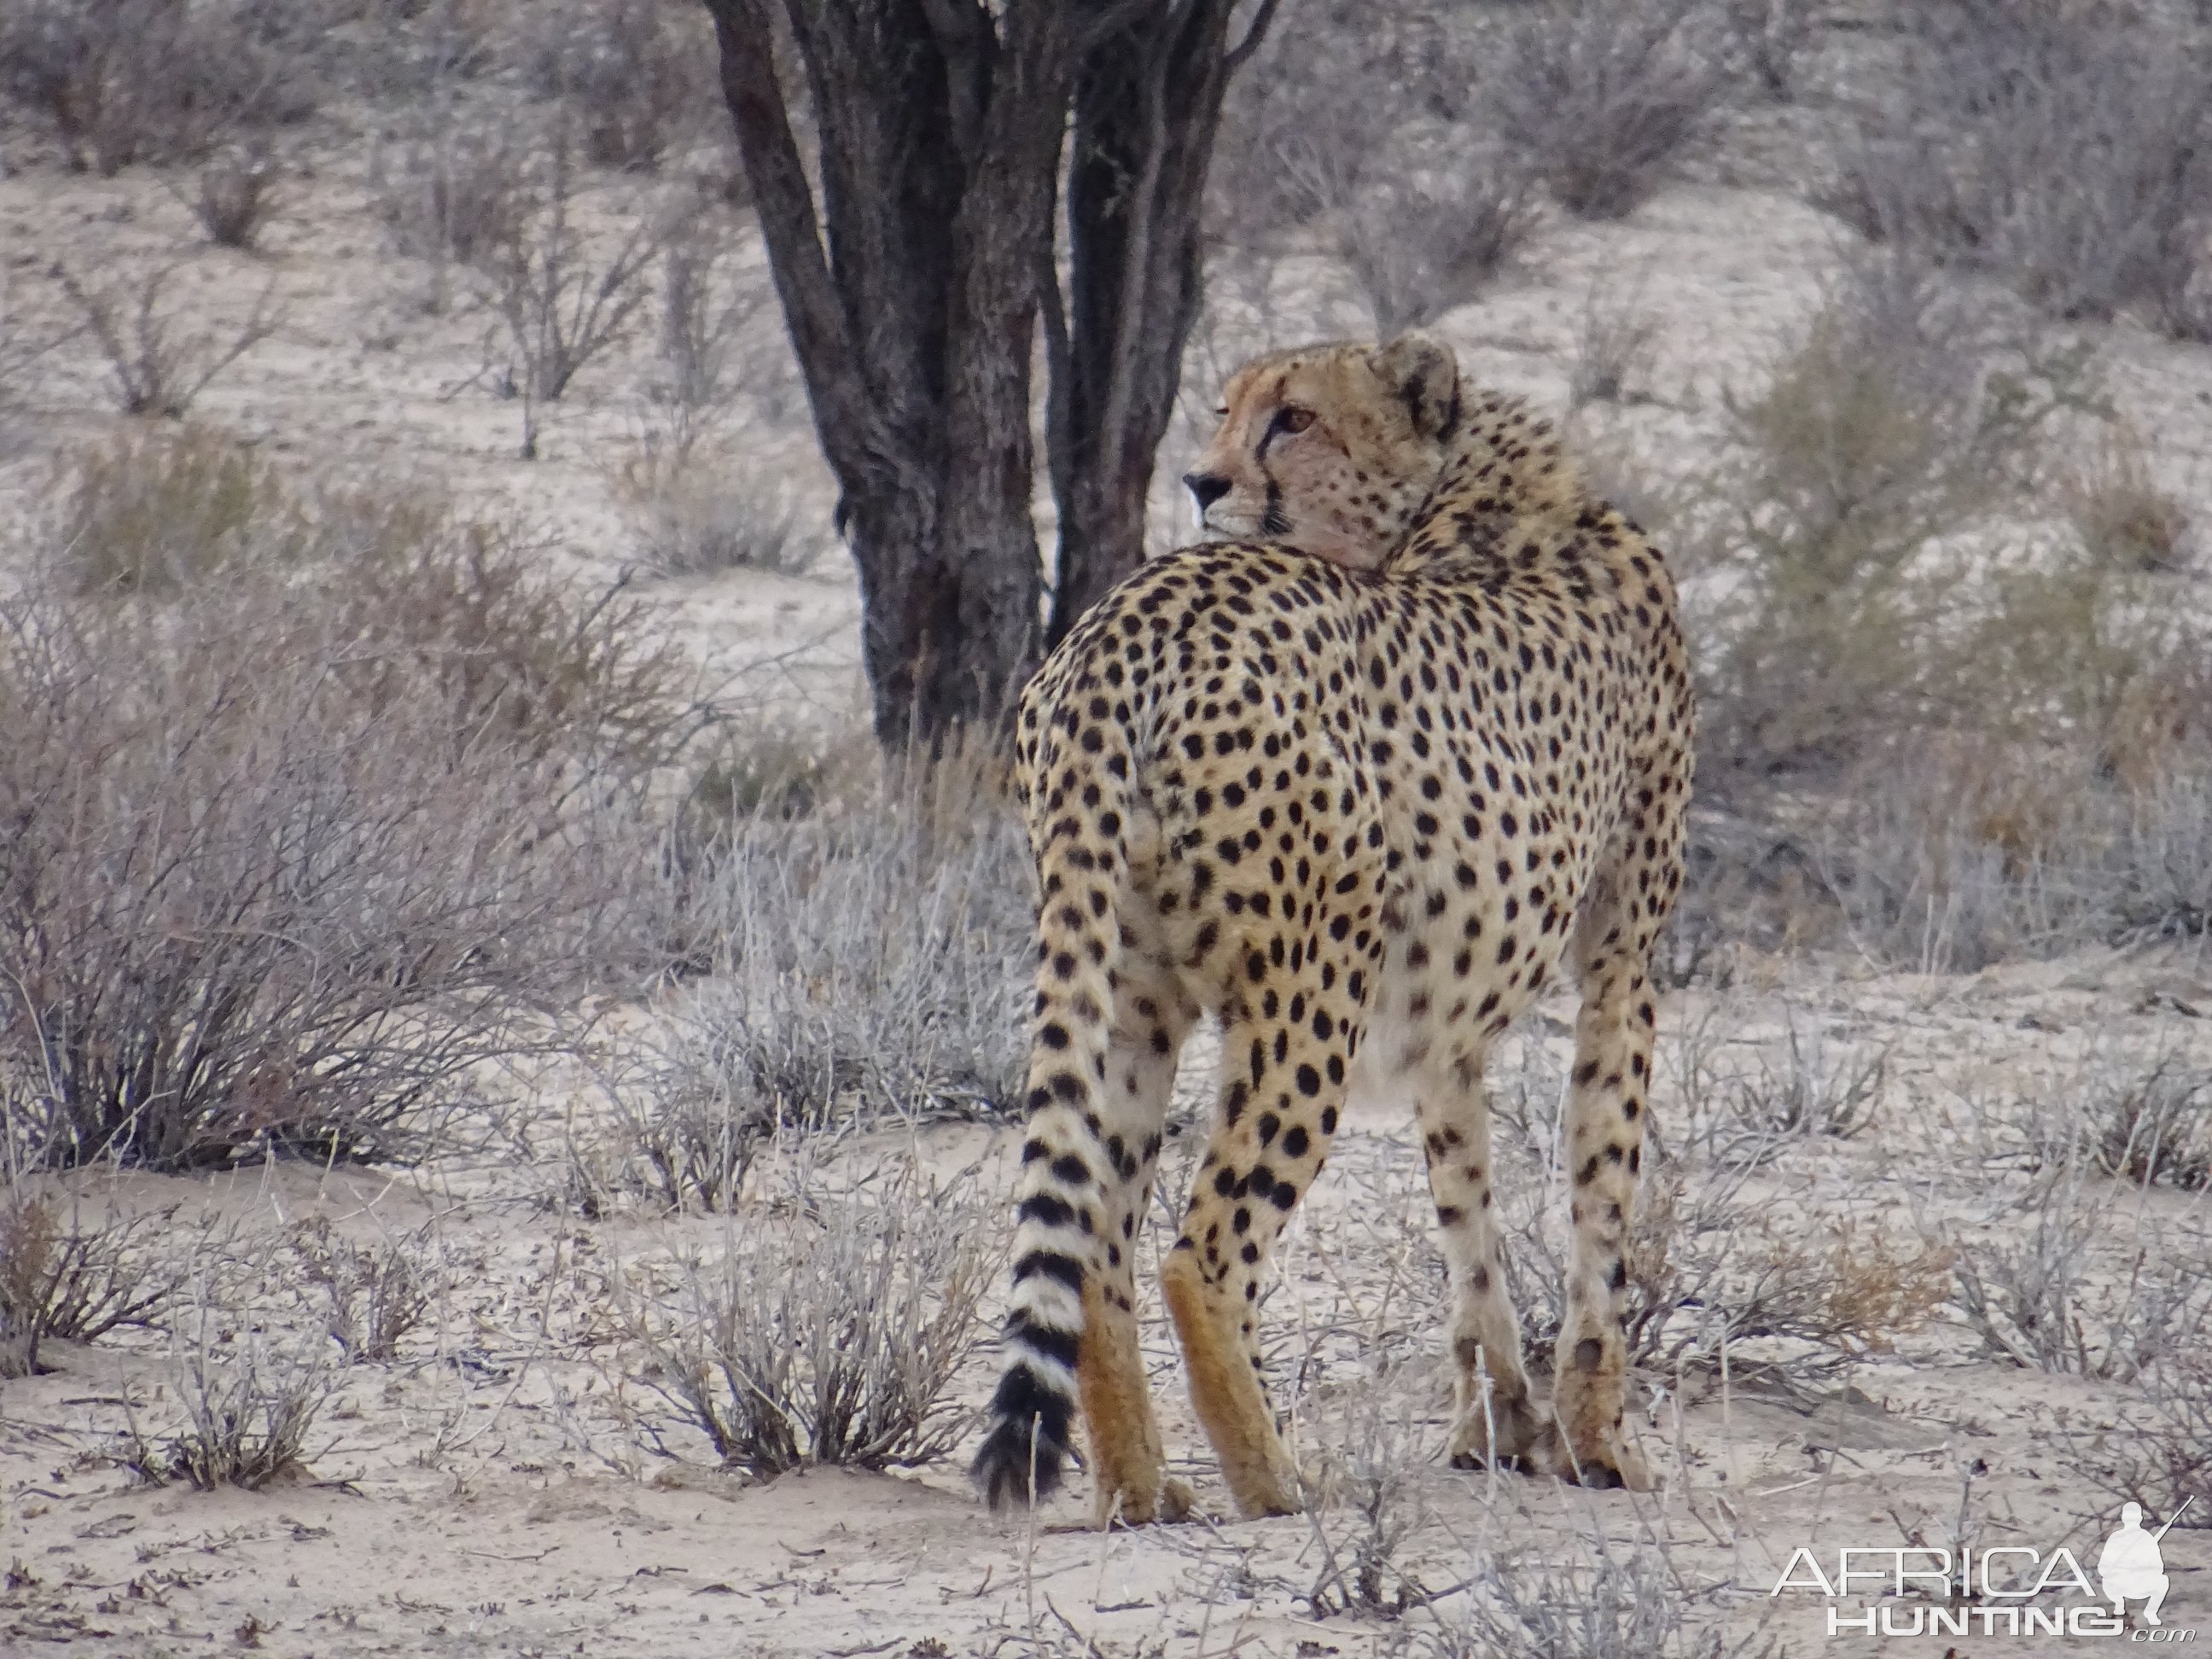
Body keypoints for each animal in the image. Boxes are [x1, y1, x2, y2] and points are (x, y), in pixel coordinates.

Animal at [973, 331, 1690, 1530]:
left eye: (1293, 417)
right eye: (1229, 411)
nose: (1201, 482)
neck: (1456, 498)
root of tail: (1129, 614)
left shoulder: (1449, 1028)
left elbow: (1471, 1229)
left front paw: (1507, 1426)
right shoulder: (1622, 963)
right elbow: (1602, 1208)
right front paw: (1600, 1442)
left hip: (1130, 990)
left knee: (1095, 1249)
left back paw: (1141, 1490)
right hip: (1311, 991)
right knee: (1200, 1256)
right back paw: (1276, 1484)